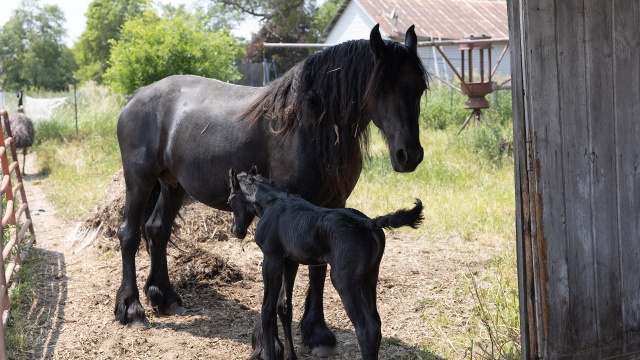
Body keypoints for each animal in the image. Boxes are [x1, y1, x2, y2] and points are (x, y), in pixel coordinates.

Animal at [228, 168, 422, 360]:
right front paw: (291, 356)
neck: (272, 201)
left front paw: (268, 354)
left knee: (367, 329)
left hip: (344, 282)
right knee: (377, 321)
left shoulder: (271, 259)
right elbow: (284, 307)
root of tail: (367, 222)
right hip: (370, 278)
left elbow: (267, 309)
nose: (235, 230)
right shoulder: (290, 262)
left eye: (230, 200)